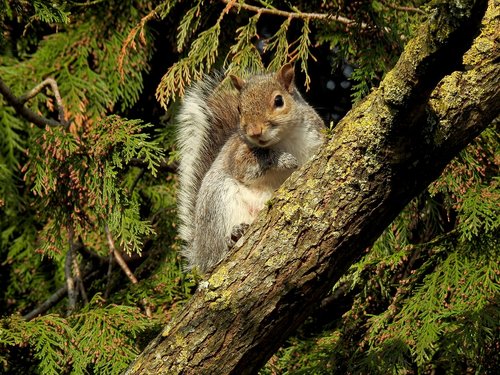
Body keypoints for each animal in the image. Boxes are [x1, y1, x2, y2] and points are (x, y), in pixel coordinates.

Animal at [176, 64, 324, 274]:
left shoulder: (315, 135)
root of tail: (199, 257)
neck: (284, 139)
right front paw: (282, 159)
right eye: (239, 108)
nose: (254, 131)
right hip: (218, 200)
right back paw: (233, 237)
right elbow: (249, 166)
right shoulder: (238, 154)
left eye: (279, 101)